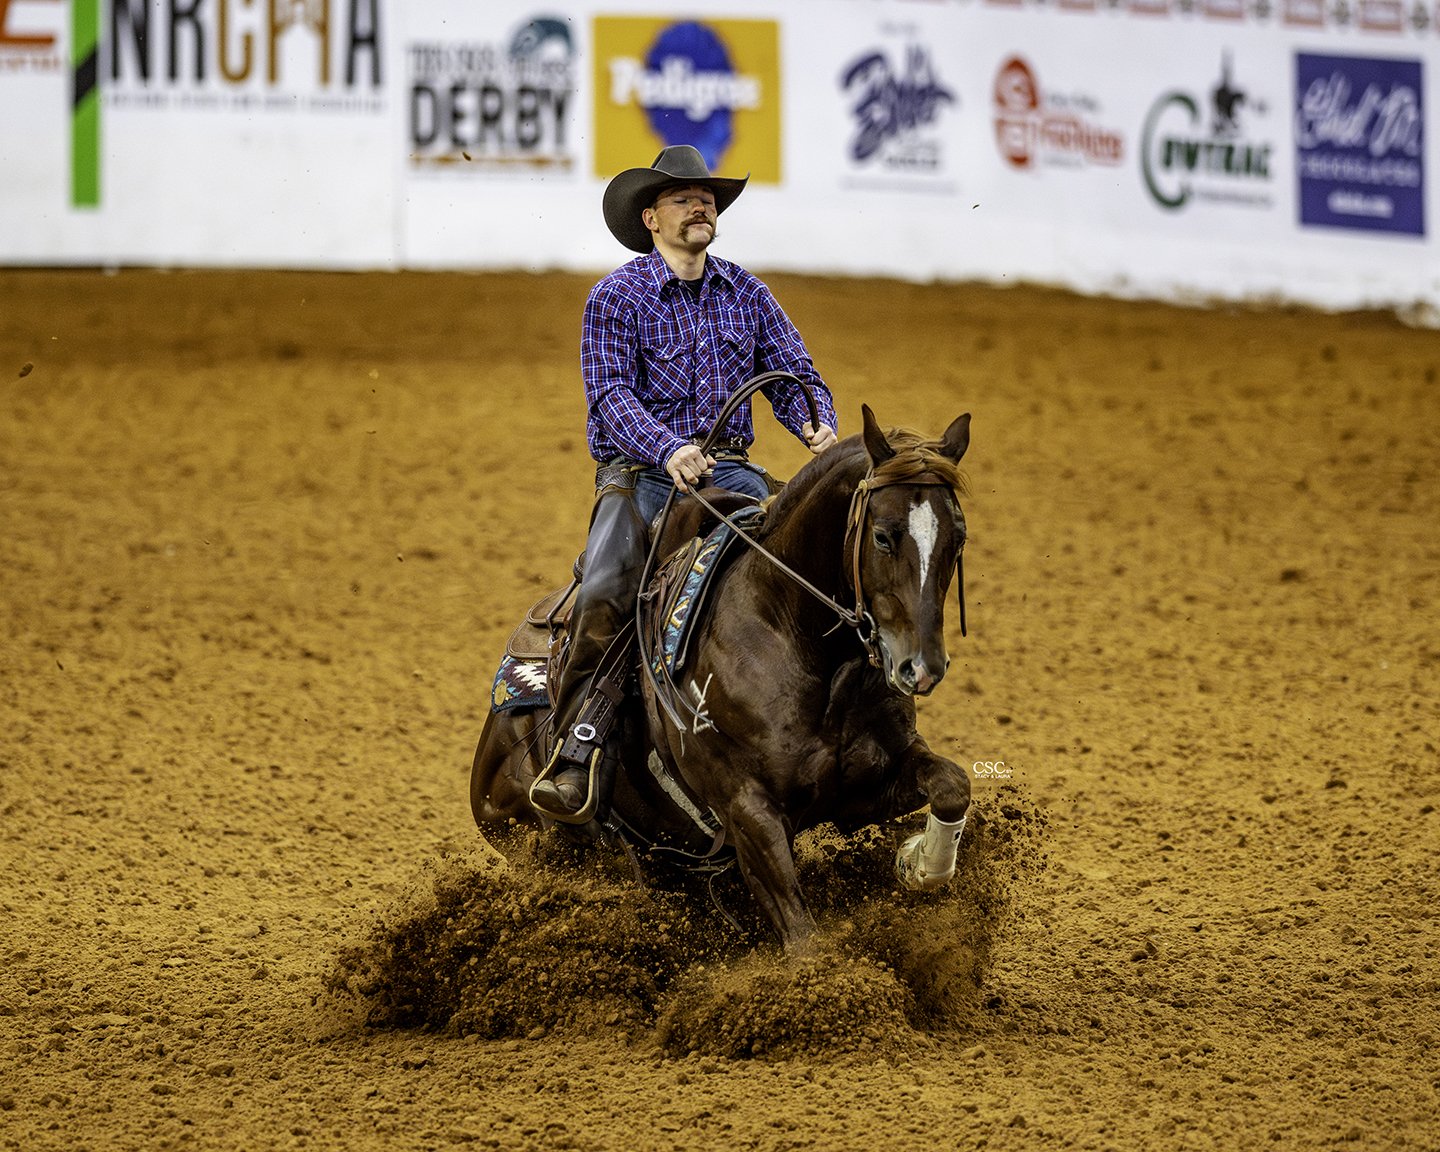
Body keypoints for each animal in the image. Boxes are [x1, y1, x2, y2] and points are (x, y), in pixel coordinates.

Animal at [471, 402, 973, 953]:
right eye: (882, 536)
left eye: (958, 538)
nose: (922, 667)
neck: (796, 637)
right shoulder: (749, 813)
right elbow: (804, 942)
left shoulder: (860, 789)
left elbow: (952, 783)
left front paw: (918, 862)